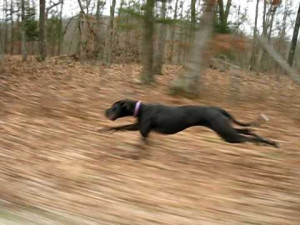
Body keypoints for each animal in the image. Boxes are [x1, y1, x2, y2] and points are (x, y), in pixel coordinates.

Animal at [101, 99, 278, 149]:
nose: (105, 111)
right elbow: (119, 127)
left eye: (113, 107)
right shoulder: (138, 127)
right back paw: (269, 142)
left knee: (246, 137)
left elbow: (141, 142)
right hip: (225, 128)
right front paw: (105, 129)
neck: (140, 108)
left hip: (227, 134)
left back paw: (264, 143)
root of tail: (218, 109)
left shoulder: (143, 131)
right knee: (248, 130)